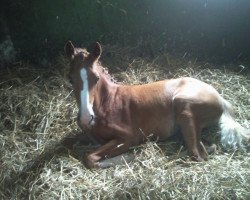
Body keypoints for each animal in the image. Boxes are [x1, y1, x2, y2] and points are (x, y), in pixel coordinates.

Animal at [65, 41, 250, 169]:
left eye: (96, 78)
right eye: (70, 79)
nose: (85, 118)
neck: (109, 102)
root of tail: (221, 99)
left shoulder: (128, 137)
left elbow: (89, 158)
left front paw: (128, 157)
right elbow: (69, 141)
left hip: (184, 108)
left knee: (197, 155)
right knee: (205, 147)